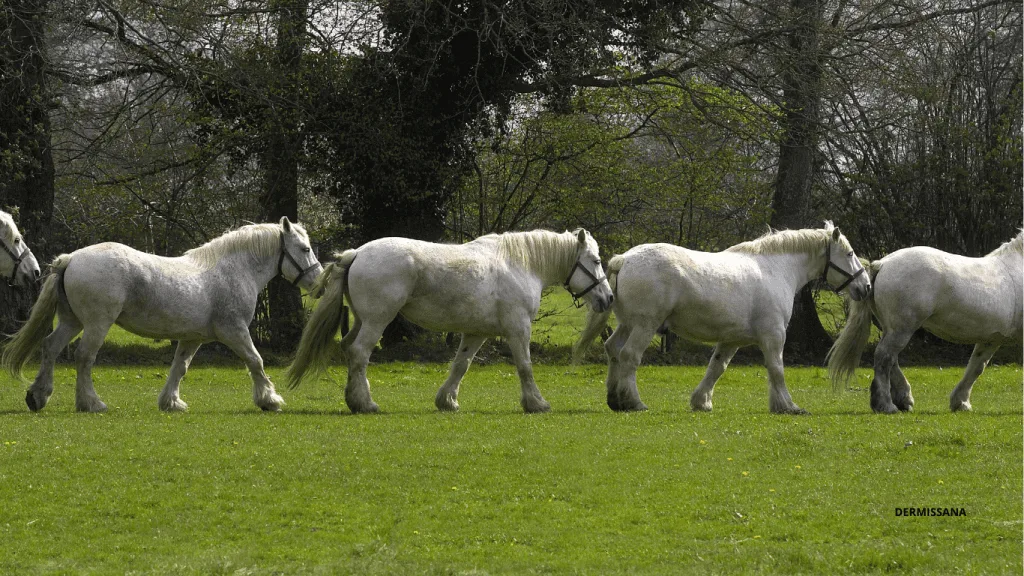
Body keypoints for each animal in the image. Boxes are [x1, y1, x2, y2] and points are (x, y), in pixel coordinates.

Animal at [2, 217, 322, 413]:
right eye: (305, 248)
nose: (318, 282)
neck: (234, 270)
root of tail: (71, 259)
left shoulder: (193, 339)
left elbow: (179, 368)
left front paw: (171, 402)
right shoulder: (235, 332)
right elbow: (256, 361)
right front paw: (269, 399)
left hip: (73, 322)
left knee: (51, 347)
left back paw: (38, 396)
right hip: (97, 324)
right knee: (84, 358)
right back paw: (91, 403)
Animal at [286, 229, 614, 414]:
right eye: (597, 261)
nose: (608, 298)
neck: (520, 264)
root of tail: (356, 254)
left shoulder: (476, 333)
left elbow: (460, 365)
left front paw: (447, 401)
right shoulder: (518, 329)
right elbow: (525, 367)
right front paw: (536, 403)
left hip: (361, 321)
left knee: (349, 348)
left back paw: (353, 398)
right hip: (377, 321)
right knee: (359, 353)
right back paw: (365, 404)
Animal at [574, 222, 871, 414]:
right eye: (850, 254)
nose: (866, 286)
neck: (776, 269)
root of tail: (624, 259)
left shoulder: (732, 340)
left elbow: (716, 368)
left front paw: (701, 401)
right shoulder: (773, 336)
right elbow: (777, 369)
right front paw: (788, 405)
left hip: (628, 324)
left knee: (613, 350)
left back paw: (615, 400)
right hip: (645, 326)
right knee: (629, 357)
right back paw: (634, 402)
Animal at [828, 231, 1023, 414]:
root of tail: (882, 264)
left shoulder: (991, 339)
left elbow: (976, 367)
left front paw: (960, 402)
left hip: (892, 329)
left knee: (891, 359)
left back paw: (904, 399)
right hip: (902, 329)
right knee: (884, 357)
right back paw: (886, 405)